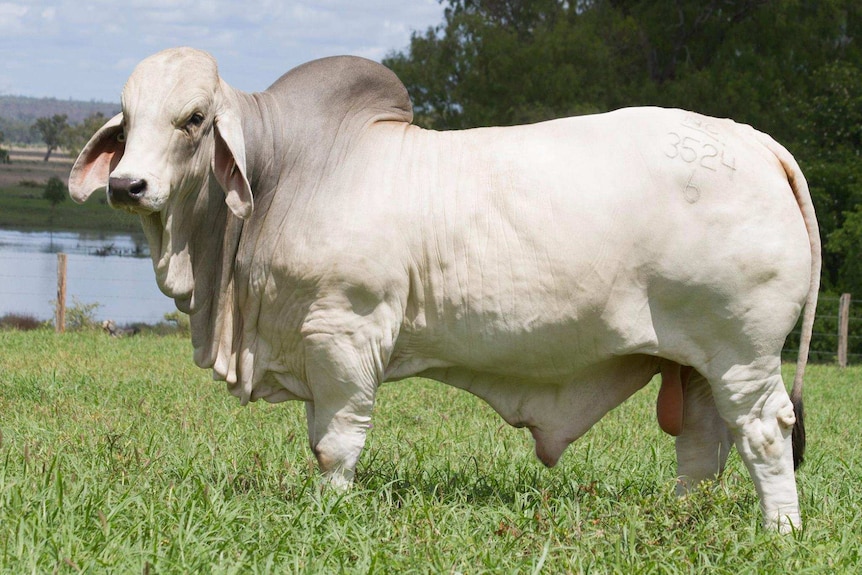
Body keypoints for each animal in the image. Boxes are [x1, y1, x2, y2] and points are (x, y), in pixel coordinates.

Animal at [67, 47, 816, 532]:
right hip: (698, 364)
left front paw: (330, 510)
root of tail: (756, 142)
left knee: (764, 432)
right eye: (127, 120)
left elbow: (336, 442)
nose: (126, 184)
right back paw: (683, 515)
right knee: (702, 445)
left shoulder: (345, 331)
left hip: (743, 353)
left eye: (193, 118)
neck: (287, 174)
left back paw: (780, 531)